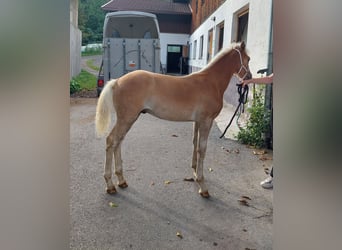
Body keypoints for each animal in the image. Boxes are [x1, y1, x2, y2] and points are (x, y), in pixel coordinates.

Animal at [95, 41, 251, 197]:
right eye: (248, 59)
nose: (249, 76)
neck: (211, 82)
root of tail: (117, 81)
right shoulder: (206, 121)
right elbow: (202, 149)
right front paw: (202, 184)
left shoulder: (198, 121)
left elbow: (195, 143)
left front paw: (194, 172)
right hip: (127, 119)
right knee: (111, 141)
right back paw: (110, 185)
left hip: (128, 120)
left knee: (118, 142)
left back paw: (121, 180)